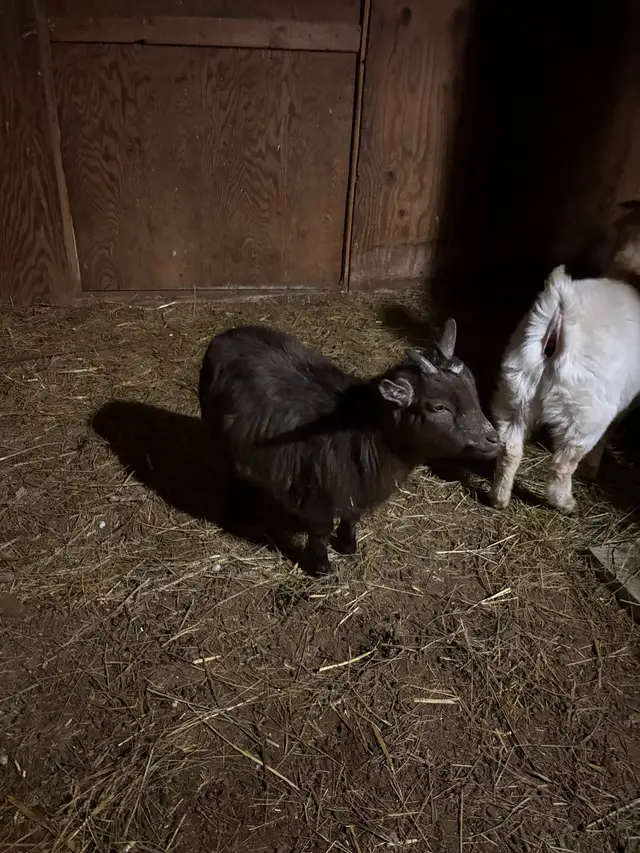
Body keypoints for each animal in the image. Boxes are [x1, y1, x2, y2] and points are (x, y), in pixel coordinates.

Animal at [199, 320, 498, 574]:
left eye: (473, 390)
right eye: (438, 407)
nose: (493, 440)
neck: (357, 427)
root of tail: (224, 336)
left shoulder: (357, 487)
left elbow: (351, 518)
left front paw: (347, 546)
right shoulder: (317, 491)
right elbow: (320, 531)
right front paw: (321, 567)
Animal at [490, 264, 640, 513]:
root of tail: (562, 305)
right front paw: (591, 469)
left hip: (515, 389)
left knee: (509, 447)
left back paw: (499, 498)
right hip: (584, 414)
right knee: (563, 462)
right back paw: (565, 503)